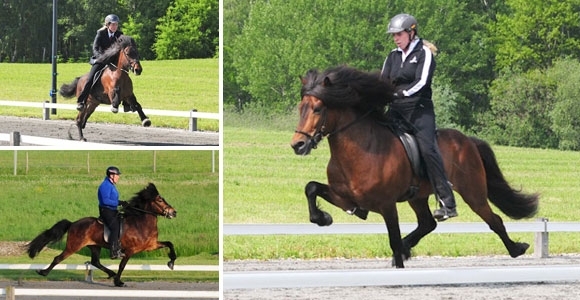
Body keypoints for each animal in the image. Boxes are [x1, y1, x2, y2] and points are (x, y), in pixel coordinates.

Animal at [26, 183, 177, 286]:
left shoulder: (151, 245)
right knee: (58, 258)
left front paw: (171, 262)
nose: (174, 212)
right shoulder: (130, 250)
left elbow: (170, 244)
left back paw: (111, 273)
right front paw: (118, 282)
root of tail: (73, 223)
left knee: (95, 262)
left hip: (95, 246)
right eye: (159, 200)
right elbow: (122, 265)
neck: (140, 223)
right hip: (73, 246)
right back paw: (43, 272)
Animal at [290, 65, 540, 268]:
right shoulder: (345, 197)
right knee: (427, 223)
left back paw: (516, 249)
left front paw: (399, 261)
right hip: (417, 197)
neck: (361, 150)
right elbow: (311, 187)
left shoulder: (387, 205)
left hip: (473, 193)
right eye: (301, 107)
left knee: (494, 220)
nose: (298, 145)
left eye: (318, 109)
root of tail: (468, 140)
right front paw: (323, 218)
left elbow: (392, 239)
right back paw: (407, 247)